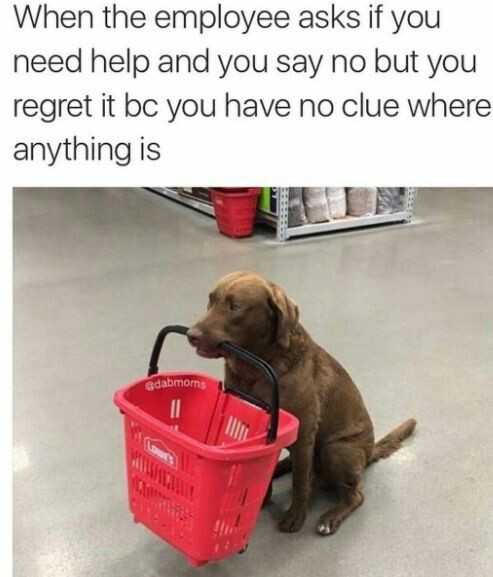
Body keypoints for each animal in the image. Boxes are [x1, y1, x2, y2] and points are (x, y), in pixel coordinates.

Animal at [186, 272, 414, 532]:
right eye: (210, 300)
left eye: (236, 306)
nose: (191, 335)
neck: (255, 368)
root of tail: (369, 453)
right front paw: (259, 497)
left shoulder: (304, 433)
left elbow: (300, 483)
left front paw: (295, 517)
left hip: (336, 450)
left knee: (353, 494)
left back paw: (330, 517)